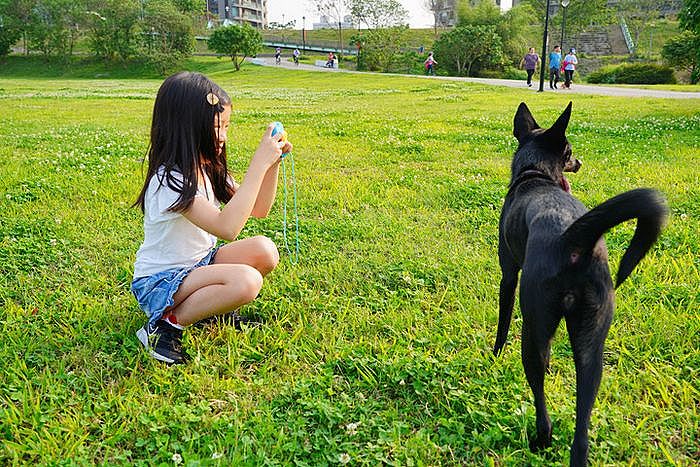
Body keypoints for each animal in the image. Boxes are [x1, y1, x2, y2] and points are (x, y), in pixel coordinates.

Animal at [492, 103, 668, 467]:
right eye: (570, 152)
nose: (581, 161)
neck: (536, 176)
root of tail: (572, 238)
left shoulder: (508, 274)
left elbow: (502, 323)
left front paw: (495, 355)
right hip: (592, 344)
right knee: (582, 428)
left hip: (534, 324)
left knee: (540, 397)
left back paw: (540, 440)